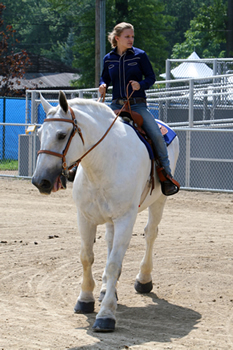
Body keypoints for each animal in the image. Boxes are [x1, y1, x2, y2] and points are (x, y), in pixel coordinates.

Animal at [31, 91, 179, 332]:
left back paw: (143, 279)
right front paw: (85, 299)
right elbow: (86, 258)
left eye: (62, 135)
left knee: (150, 234)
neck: (103, 162)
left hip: (159, 201)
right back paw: (105, 289)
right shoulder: (84, 217)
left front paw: (106, 314)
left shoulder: (125, 219)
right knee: (110, 242)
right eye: (40, 133)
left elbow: (113, 264)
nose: (39, 181)